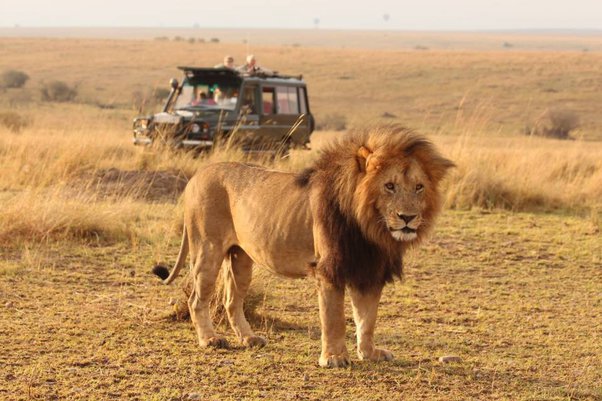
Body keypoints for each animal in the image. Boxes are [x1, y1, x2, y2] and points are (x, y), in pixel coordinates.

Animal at [152, 126, 452, 368]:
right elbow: (334, 318)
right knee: (196, 299)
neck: (371, 229)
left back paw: (249, 338)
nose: (408, 218)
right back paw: (211, 339)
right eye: (389, 186)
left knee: (231, 300)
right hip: (207, 248)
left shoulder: (369, 269)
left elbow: (367, 319)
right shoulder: (329, 268)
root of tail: (197, 174)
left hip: (241, 257)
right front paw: (333, 358)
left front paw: (369, 353)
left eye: (419, 187)